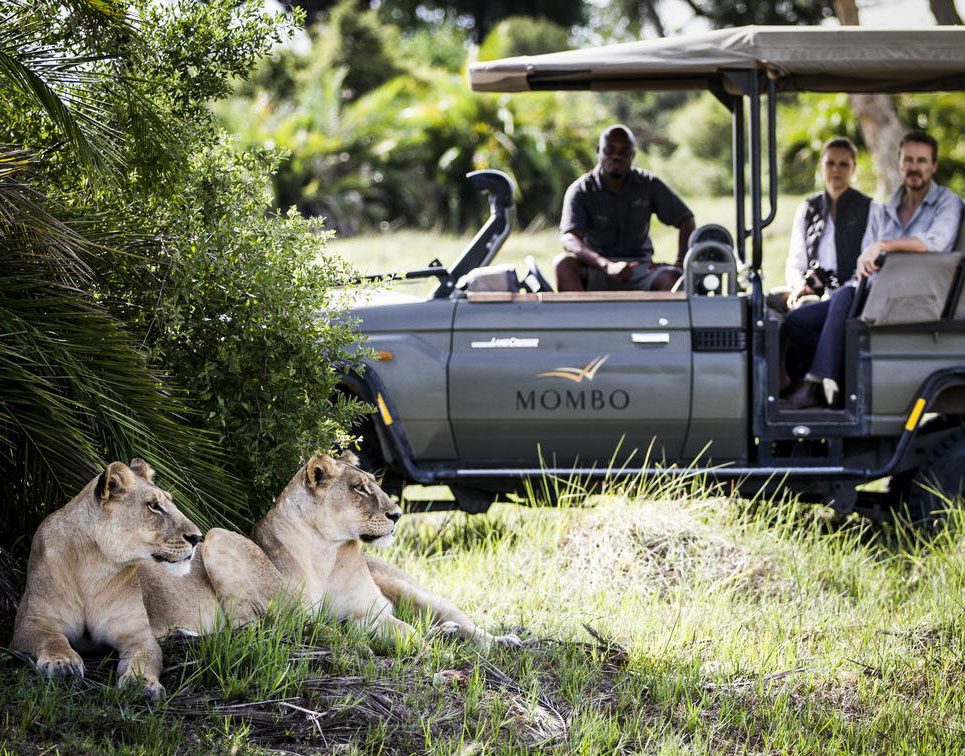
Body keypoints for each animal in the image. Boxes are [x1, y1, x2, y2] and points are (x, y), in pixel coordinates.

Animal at [12, 459, 202, 699]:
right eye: (154, 506)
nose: (197, 538)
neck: (93, 562)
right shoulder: (31, 622)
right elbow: (52, 638)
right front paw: (62, 663)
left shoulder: (138, 635)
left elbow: (145, 658)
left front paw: (143, 683)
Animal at [252, 452, 521, 649]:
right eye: (359, 488)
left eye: (375, 484)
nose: (398, 514)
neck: (325, 550)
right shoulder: (291, 617)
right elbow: (330, 629)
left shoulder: (373, 609)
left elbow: (408, 630)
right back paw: (446, 634)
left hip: (412, 590)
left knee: (465, 623)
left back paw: (502, 641)